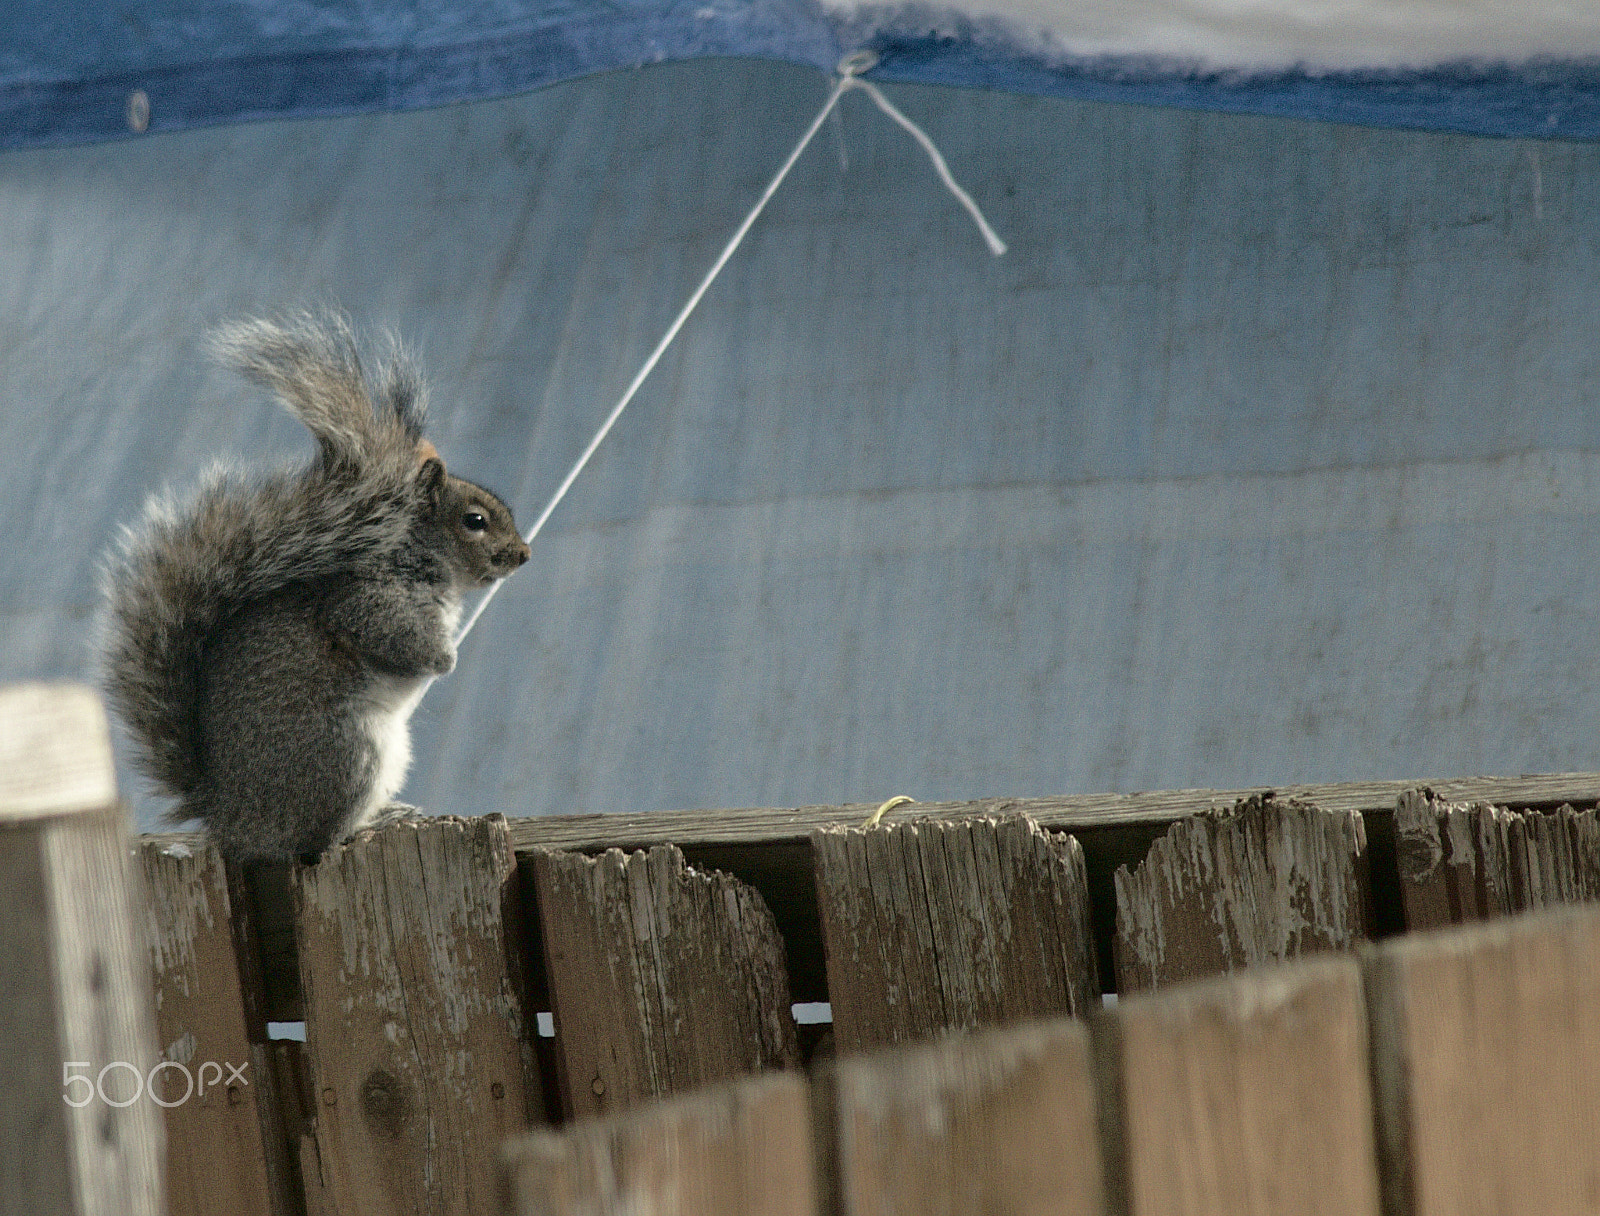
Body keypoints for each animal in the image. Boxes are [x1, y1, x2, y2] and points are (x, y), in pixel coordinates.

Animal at [98, 318, 531, 857]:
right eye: (475, 521)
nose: (523, 554)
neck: (421, 557)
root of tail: (232, 821)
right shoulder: (369, 599)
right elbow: (393, 636)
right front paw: (444, 659)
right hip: (346, 756)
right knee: (317, 841)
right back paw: (365, 827)